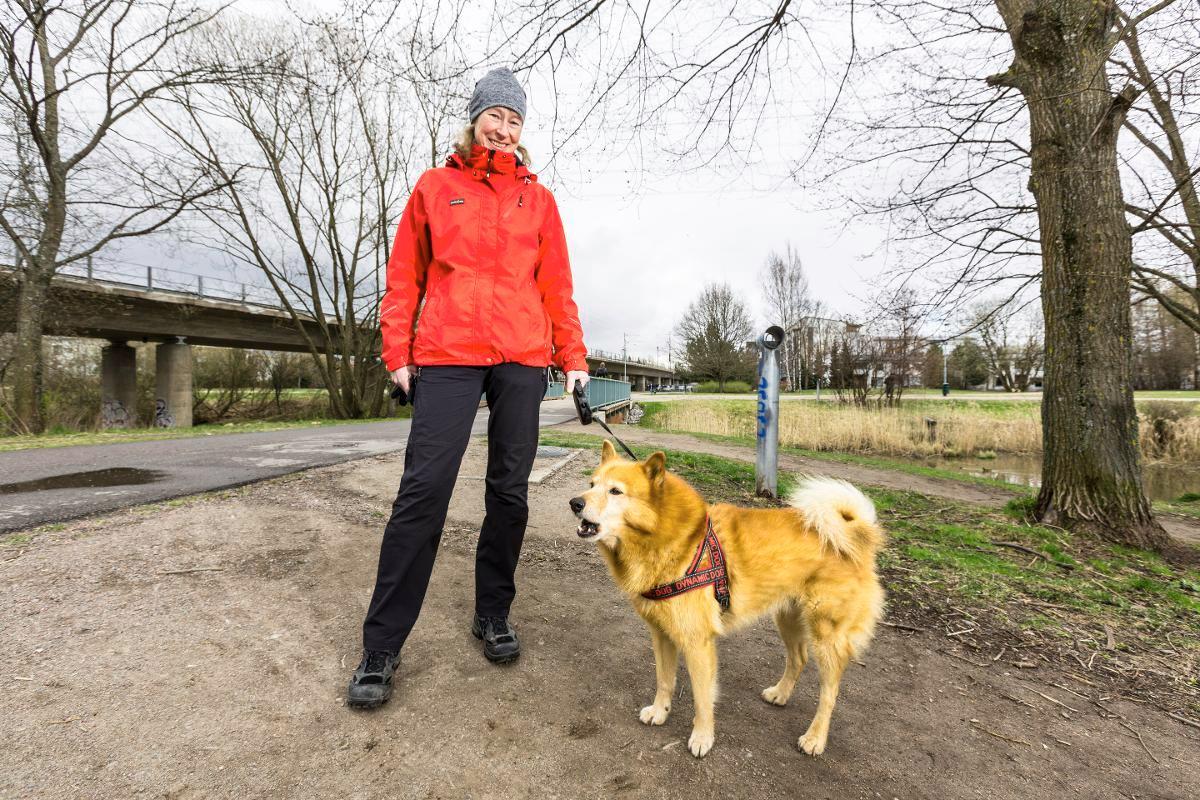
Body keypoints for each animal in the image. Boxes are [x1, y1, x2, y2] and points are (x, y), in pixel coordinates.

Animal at [566, 441, 888, 762]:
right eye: (591, 484)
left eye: (615, 491)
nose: (575, 503)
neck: (668, 540)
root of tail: (857, 535)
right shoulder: (662, 635)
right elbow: (664, 680)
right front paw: (660, 711)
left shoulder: (697, 643)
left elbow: (702, 698)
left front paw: (702, 737)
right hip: (788, 618)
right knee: (798, 659)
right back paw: (780, 694)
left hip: (826, 635)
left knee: (829, 693)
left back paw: (815, 738)